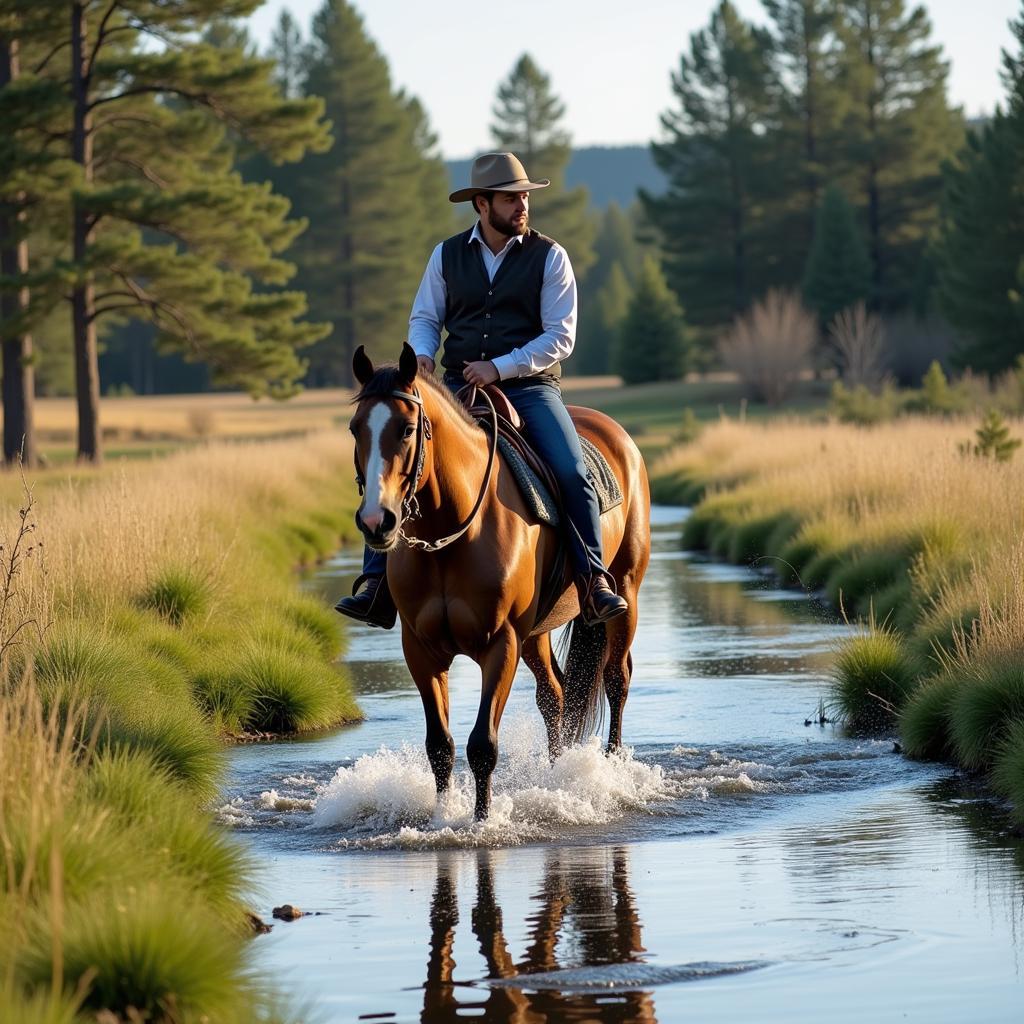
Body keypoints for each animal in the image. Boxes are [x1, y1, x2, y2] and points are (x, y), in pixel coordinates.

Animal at [348, 348, 651, 819]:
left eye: (407, 429)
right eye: (355, 428)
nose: (376, 521)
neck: (452, 532)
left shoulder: (501, 643)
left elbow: (482, 746)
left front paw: (482, 821)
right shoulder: (420, 648)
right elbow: (440, 745)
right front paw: (443, 817)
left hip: (625, 594)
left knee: (617, 678)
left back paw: (613, 767)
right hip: (537, 633)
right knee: (555, 695)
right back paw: (556, 777)